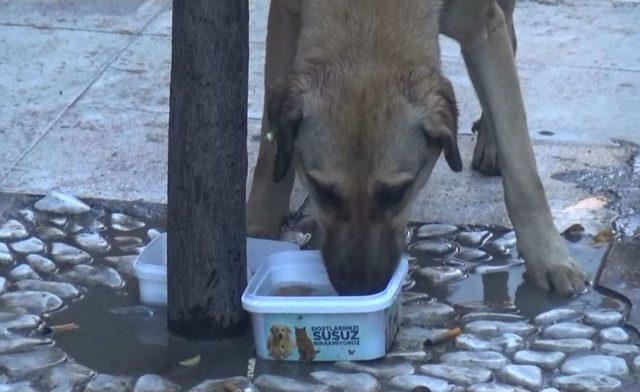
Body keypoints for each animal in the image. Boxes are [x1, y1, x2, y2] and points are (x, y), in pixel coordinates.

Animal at [248, 0, 588, 296]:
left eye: (397, 191)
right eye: (323, 190)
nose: (360, 289)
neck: (371, 13)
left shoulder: (483, 30)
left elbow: (521, 165)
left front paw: (548, 256)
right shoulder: (285, 18)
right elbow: (269, 150)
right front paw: (259, 229)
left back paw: (492, 143)